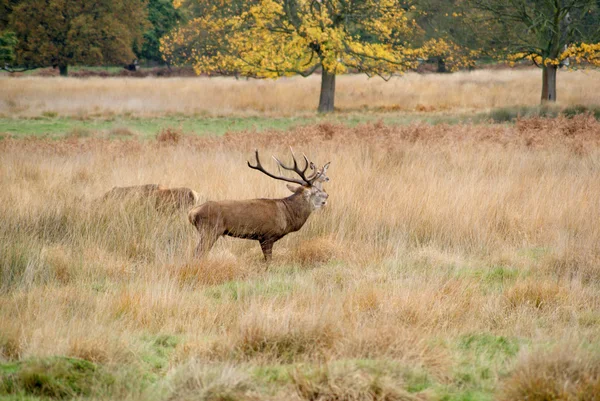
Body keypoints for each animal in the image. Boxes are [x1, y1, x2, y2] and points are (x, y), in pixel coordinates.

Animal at [189, 149, 330, 260]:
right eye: (316, 191)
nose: (327, 196)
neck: (287, 214)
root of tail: (191, 213)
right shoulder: (267, 235)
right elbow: (268, 261)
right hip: (210, 230)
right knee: (198, 253)